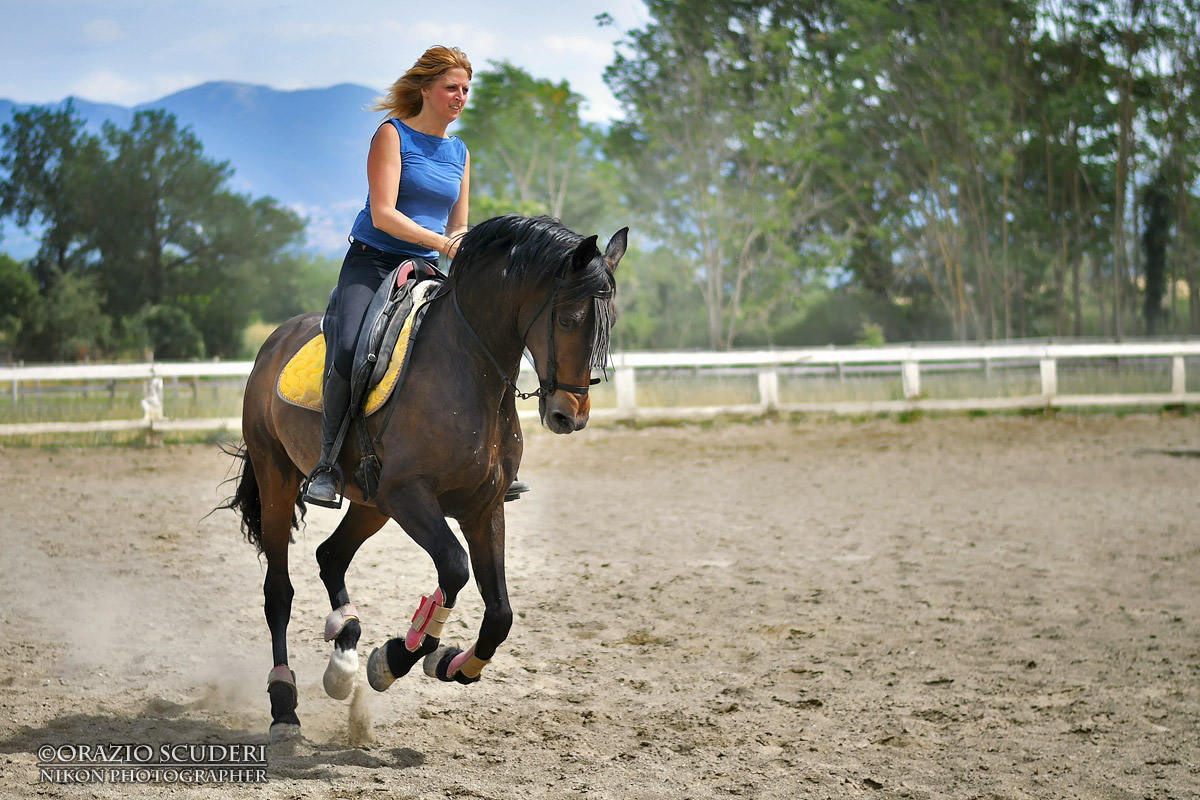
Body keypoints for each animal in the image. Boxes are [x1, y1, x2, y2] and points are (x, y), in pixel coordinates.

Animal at [221, 215, 627, 742]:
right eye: (568, 320)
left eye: (609, 322)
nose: (569, 416)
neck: (466, 369)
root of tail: (275, 340)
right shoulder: (409, 497)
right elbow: (454, 568)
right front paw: (396, 657)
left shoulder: (483, 507)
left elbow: (500, 612)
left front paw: (453, 663)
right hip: (280, 479)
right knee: (279, 593)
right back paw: (285, 705)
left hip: (370, 503)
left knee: (330, 556)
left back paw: (344, 656)